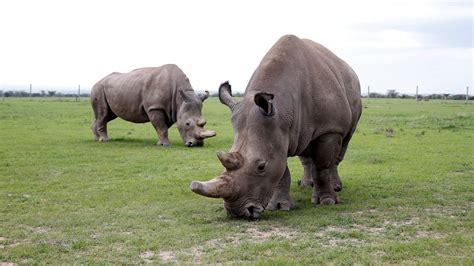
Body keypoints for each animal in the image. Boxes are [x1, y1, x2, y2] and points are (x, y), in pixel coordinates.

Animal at [191, 34, 362, 218]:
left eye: (261, 166)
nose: (237, 213)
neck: (282, 107)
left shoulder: (330, 129)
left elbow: (322, 166)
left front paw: (327, 201)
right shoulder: (277, 132)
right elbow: (281, 170)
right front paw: (279, 206)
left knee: (341, 148)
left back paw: (336, 187)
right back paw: (305, 184)